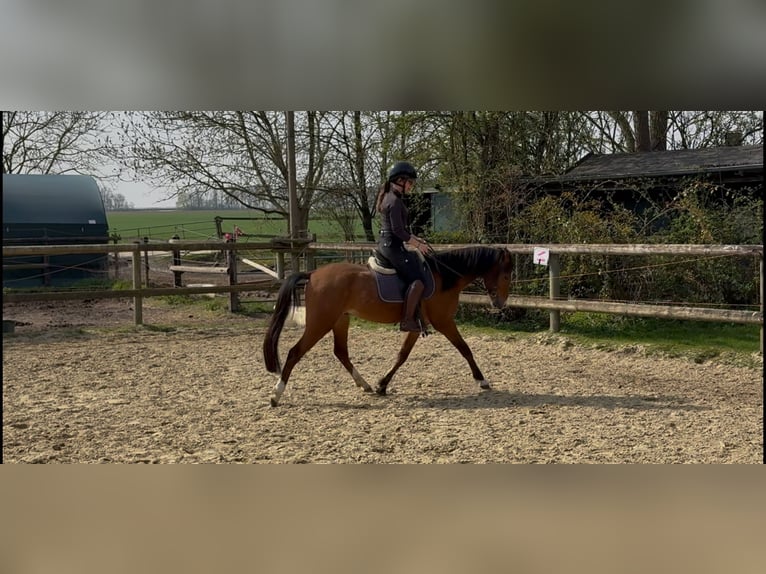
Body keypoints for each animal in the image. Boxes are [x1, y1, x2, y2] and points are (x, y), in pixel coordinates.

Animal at [262, 246, 513, 406]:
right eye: (506, 275)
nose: (500, 303)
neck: (444, 276)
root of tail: (313, 273)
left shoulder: (415, 326)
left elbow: (402, 355)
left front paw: (382, 385)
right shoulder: (444, 322)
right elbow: (465, 349)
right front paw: (482, 380)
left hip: (340, 320)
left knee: (341, 352)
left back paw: (364, 385)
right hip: (320, 323)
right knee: (295, 352)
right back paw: (276, 394)